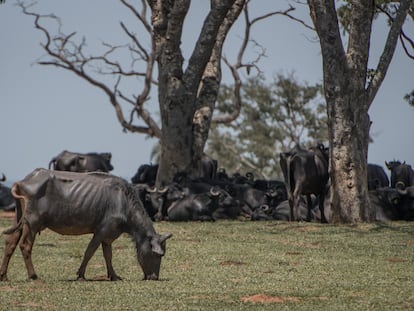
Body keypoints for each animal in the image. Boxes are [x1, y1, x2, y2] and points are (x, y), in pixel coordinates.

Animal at [0, 169, 171, 282]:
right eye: (158, 254)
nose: (154, 277)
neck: (123, 202)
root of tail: (23, 181)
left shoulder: (108, 236)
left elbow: (108, 255)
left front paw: (114, 276)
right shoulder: (102, 231)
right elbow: (90, 251)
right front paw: (81, 275)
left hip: (19, 220)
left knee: (10, 243)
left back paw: (3, 275)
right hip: (32, 223)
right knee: (25, 246)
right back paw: (33, 275)